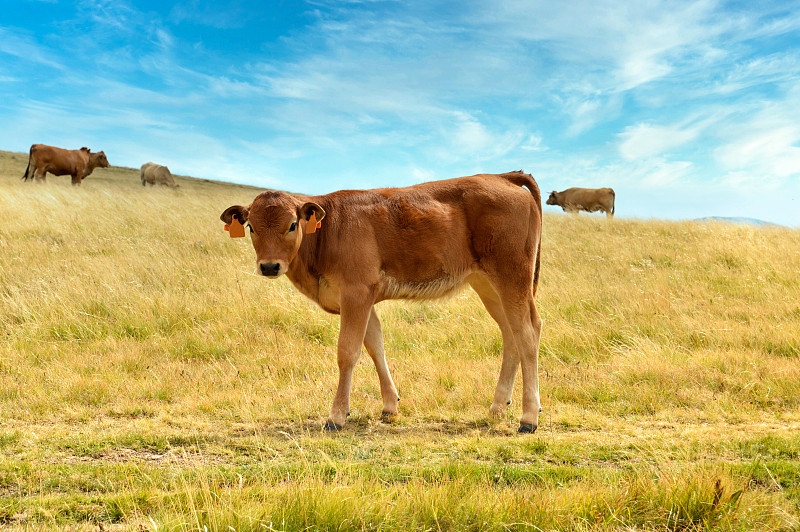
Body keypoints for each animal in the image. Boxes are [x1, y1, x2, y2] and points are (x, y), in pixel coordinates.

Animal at [219, 170, 544, 432]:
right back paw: (498, 407)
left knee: (528, 333)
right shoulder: (362, 299)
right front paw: (390, 406)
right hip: (488, 284)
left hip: (512, 276)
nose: (269, 266)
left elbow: (348, 352)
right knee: (512, 334)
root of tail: (501, 176)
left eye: (291, 225)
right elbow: (375, 345)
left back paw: (528, 418)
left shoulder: (356, 292)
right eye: (251, 227)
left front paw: (336, 416)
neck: (327, 233)